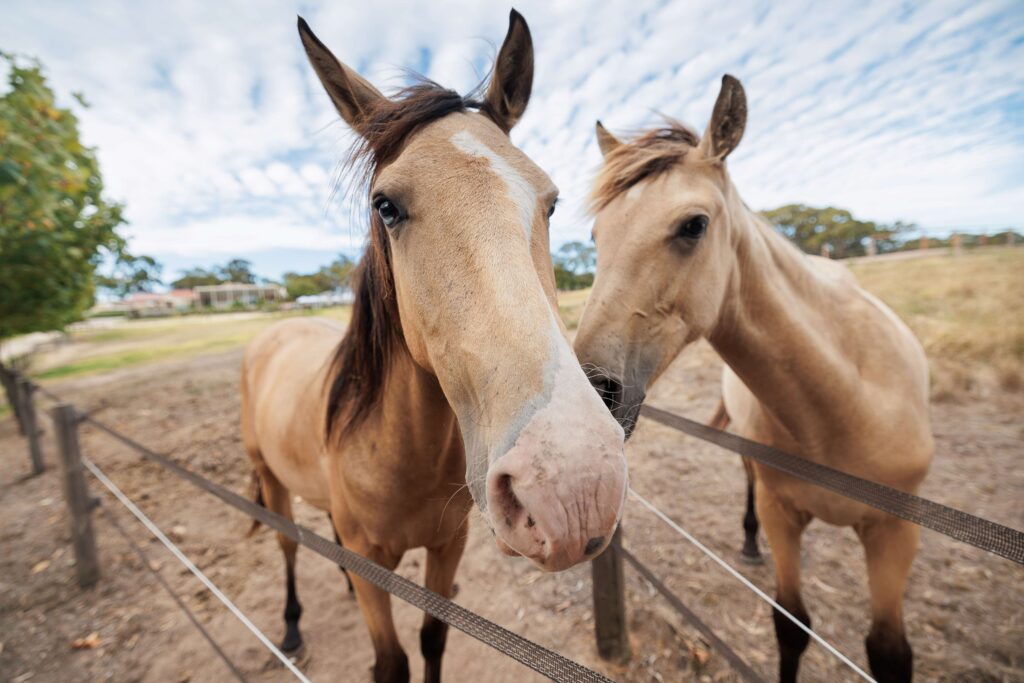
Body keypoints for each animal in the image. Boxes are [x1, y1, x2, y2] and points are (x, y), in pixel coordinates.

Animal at [241, 12, 628, 683]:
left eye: (551, 202)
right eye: (385, 205)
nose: (574, 487)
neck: (400, 452)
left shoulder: (448, 549)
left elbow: (431, 640)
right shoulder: (375, 567)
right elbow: (391, 661)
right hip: (271, 480)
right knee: (288, 544)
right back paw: (290, 627)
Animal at [574, 75, 933, 682]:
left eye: (693, 225)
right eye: (598, 235)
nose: (589, 396)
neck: (848, 398)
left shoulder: (895, 533)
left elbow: (888, 652)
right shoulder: (781, 512)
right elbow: (791, 626)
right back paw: (747, 542)